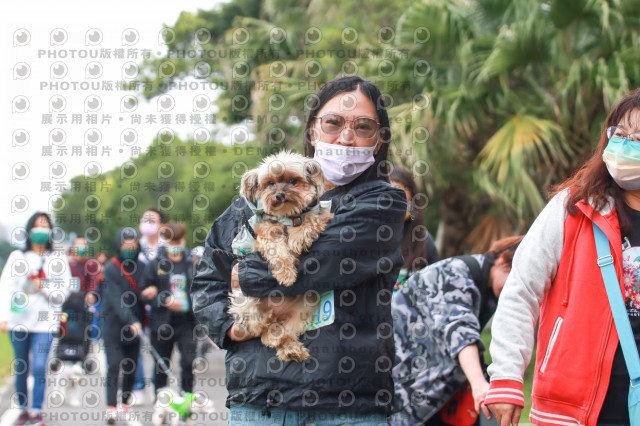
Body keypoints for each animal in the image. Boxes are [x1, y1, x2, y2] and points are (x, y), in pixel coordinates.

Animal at [226, 151, 333, 362]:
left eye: (293, 181)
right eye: (270, 183)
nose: (279, 194)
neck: (287, 216)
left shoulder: (318, 214)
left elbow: (309, 219)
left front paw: (298, 238)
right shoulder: (266, 232)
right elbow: (279, 251)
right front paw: (287, 275)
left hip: (303, 309)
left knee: (280, 334)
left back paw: (292, 349)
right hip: (245, 302)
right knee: (264, 330)